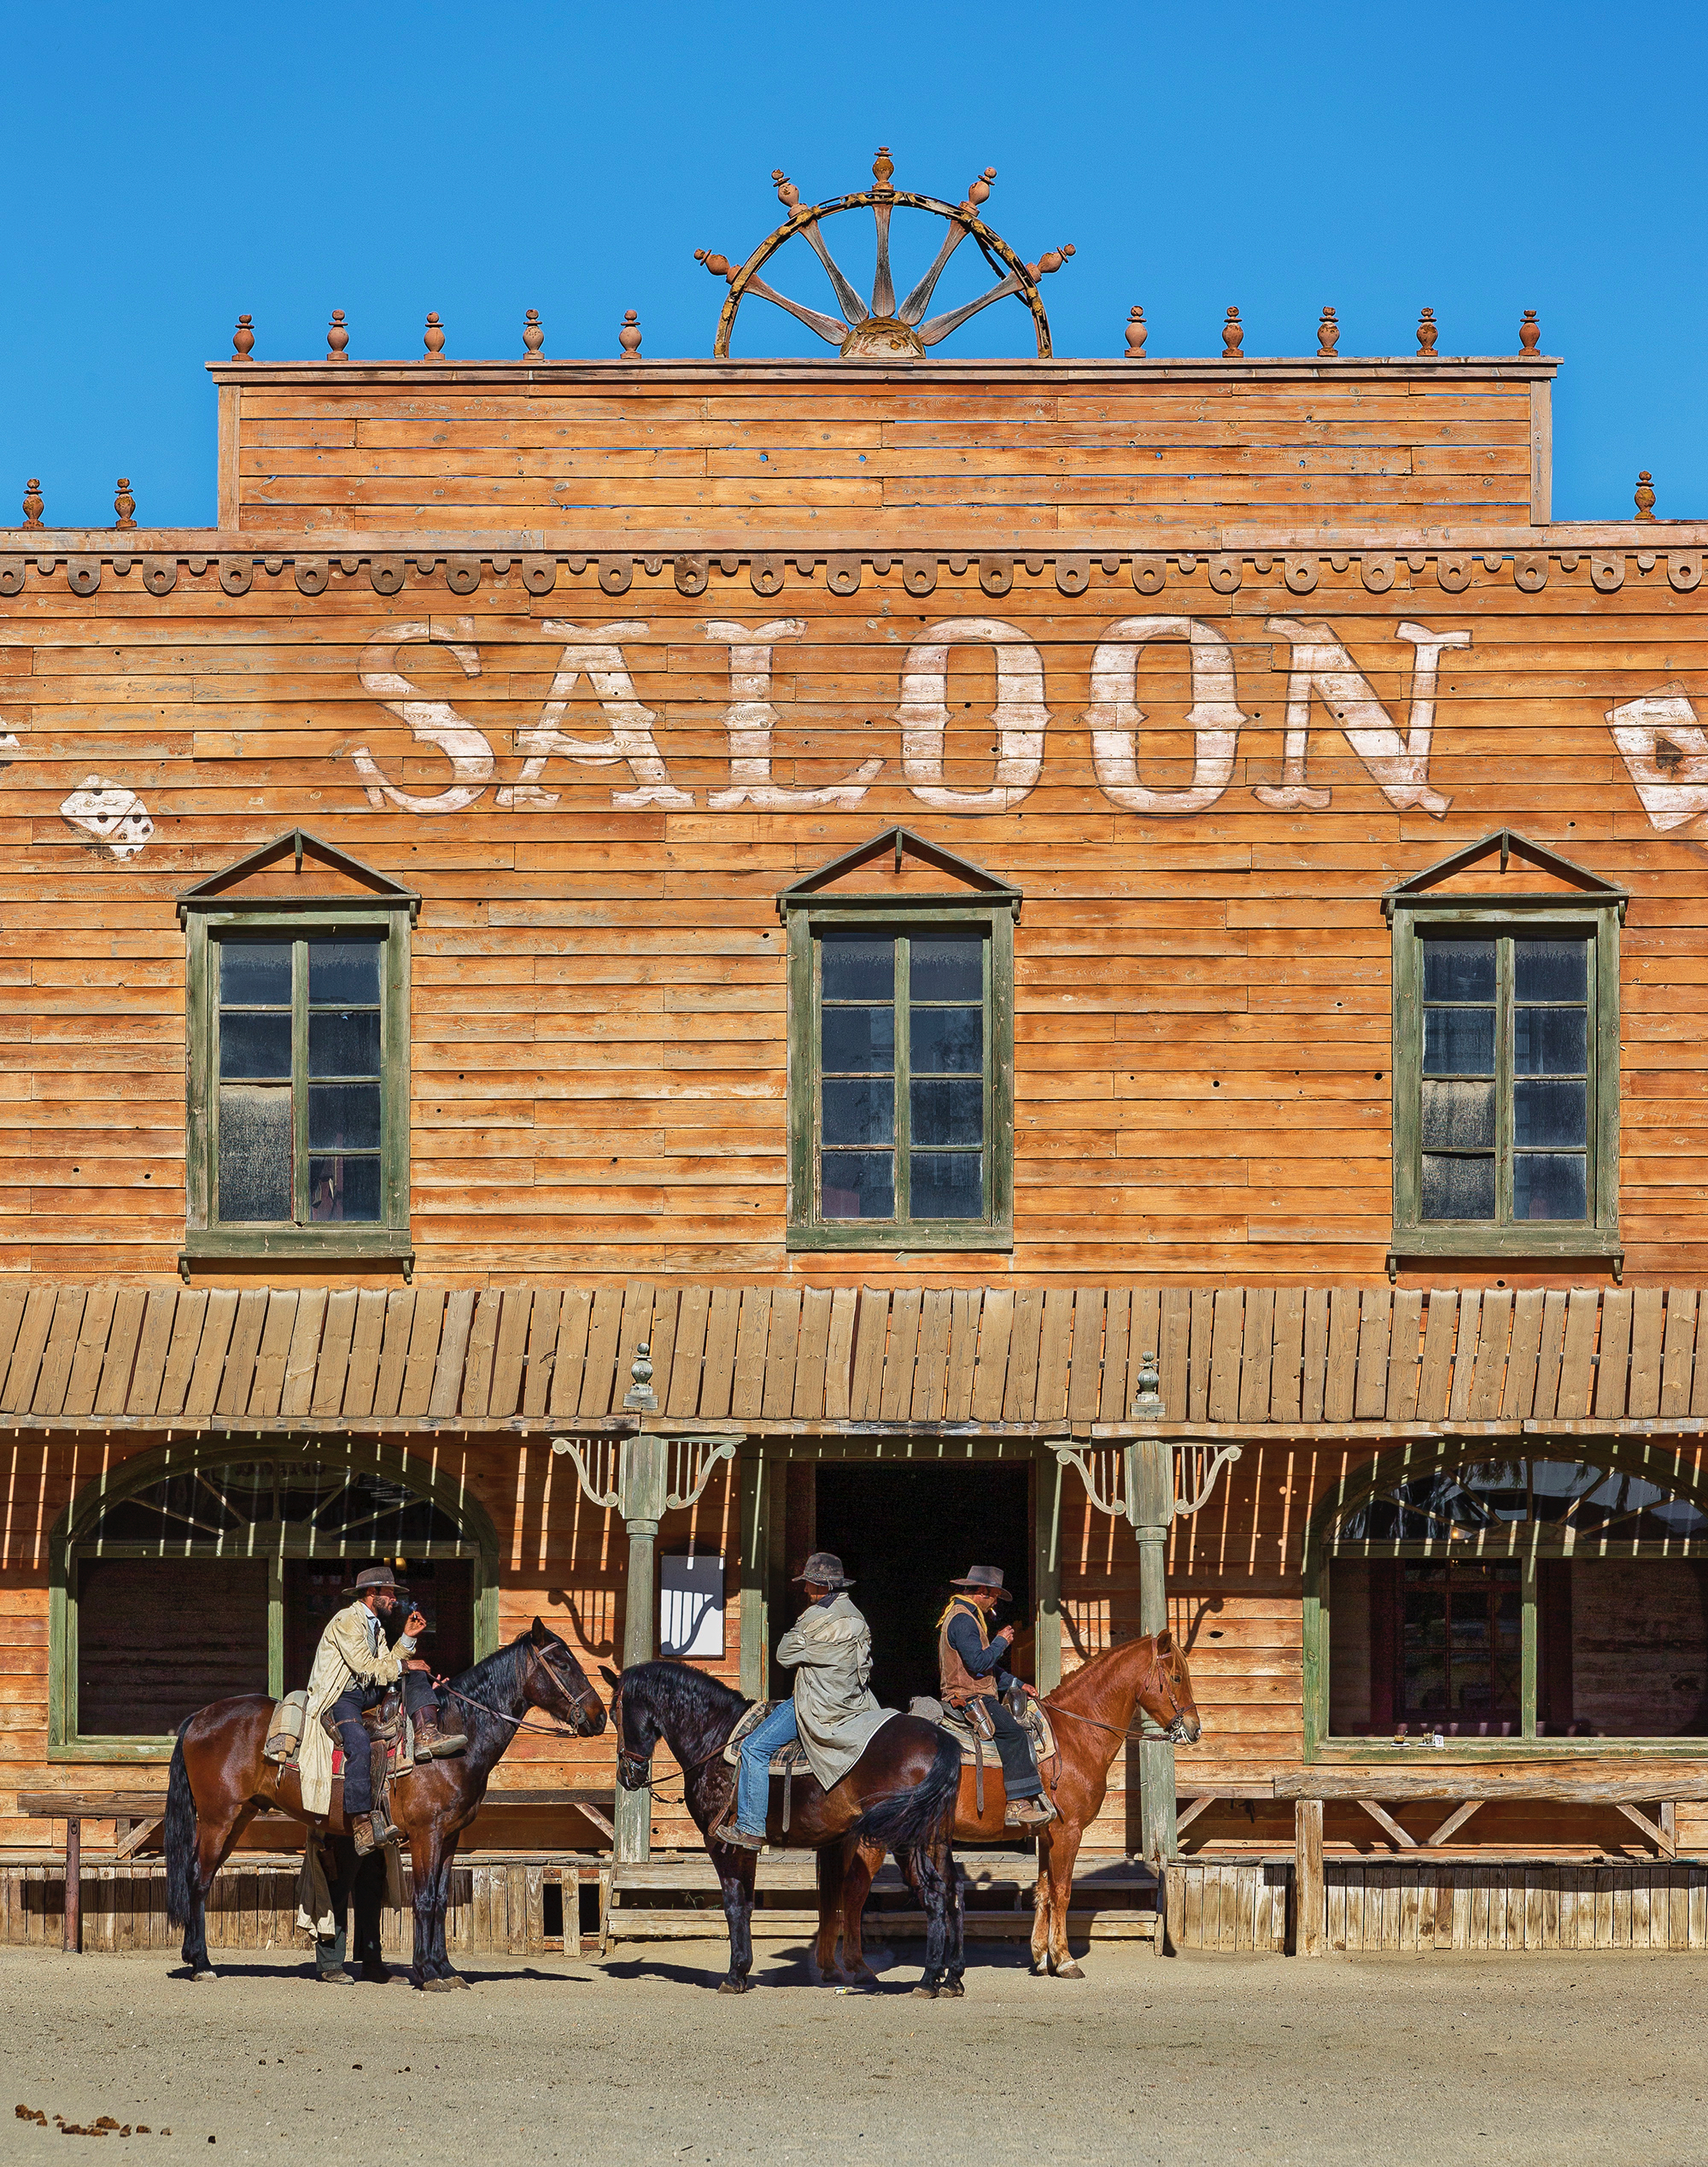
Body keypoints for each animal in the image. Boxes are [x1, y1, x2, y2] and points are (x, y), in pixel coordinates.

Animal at [606, 1655, 966, 1994]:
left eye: (614, 1713)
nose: (627, 1775)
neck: (714, 1737)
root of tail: (940, 1740)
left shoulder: (722, 1843)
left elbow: (734, 1904)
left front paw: (735, 1975)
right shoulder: (746, 1845)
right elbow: (747, 1903)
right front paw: (743, 1970)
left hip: (908, 1840)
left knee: (933, 1893)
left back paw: (928, 1980)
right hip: (936, 1839)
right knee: (952, 1890)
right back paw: (951, 1979)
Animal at [819, 1629, 1196, 1984]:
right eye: (1177, 1677)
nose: (1194, 1729)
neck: (1074, 1735)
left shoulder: (1046, 1834)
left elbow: (1043, 1891)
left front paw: (1042, 1957)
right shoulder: (1068, 1832)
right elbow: (1062, 1893)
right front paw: (1065, 1960)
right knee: (855, 1890)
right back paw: (858, 1967)